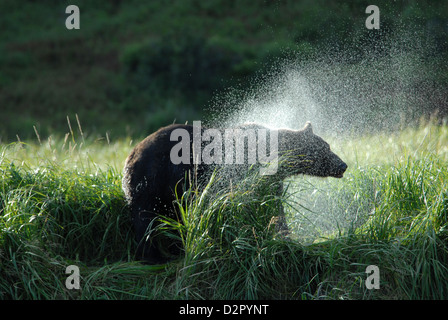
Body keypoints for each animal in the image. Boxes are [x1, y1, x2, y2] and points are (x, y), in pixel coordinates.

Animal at [121, 121, 346, 264]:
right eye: (325, 148)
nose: (343, 165)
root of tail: (131, 152)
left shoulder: (270, 179)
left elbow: (273, 206)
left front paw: (284, 236)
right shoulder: (242, 172)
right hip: (153, 177)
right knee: (145, 217)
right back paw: (154, 256)